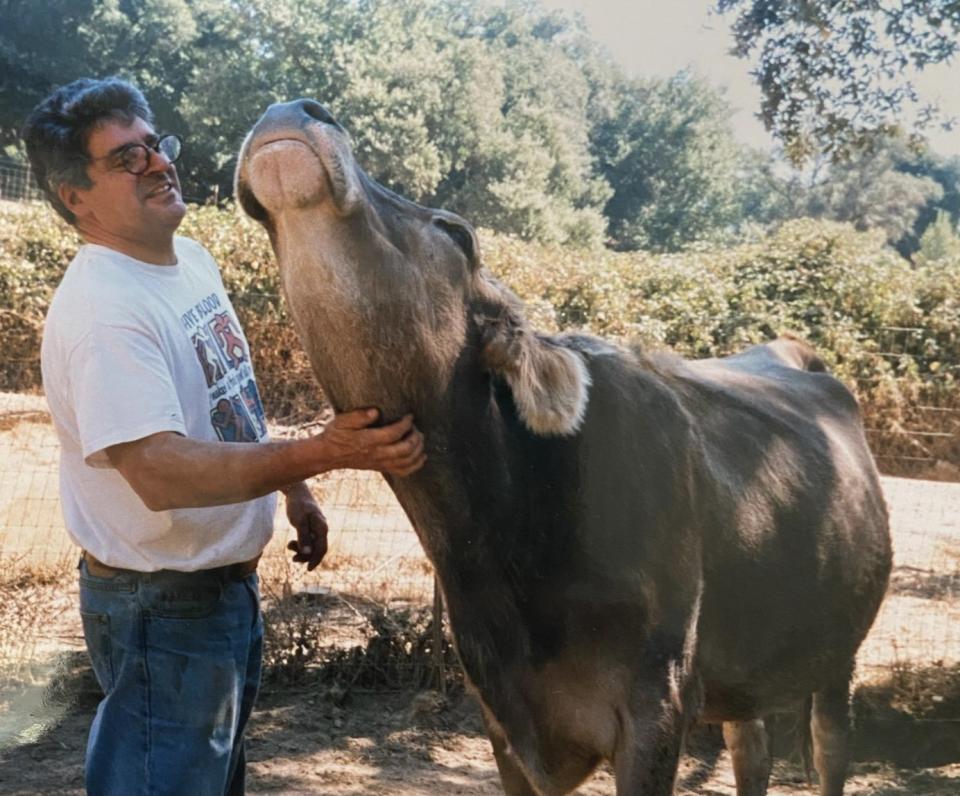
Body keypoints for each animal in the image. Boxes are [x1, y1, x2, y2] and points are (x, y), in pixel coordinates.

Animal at [232, 99, 892, 796]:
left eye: (458, 233)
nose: (291, 107)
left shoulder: (659, 704)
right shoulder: (500, 716)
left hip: (839, 653)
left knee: (829, 747)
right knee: (751, 747)